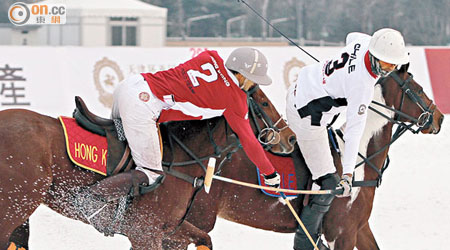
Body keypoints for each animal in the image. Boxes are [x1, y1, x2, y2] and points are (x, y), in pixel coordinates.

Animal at [1, 86, 298, 250]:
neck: (181, 158)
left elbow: (204, 239)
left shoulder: (168, 230)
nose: (291, 138)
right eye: (263, 103)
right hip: (15, 205)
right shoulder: (146, 233)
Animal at [161, 65, 442, 250]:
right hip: (195, 218)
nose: (439, 117)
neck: (359, 160)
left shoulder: (360, 228)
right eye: (418, 89)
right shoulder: (341, 232)